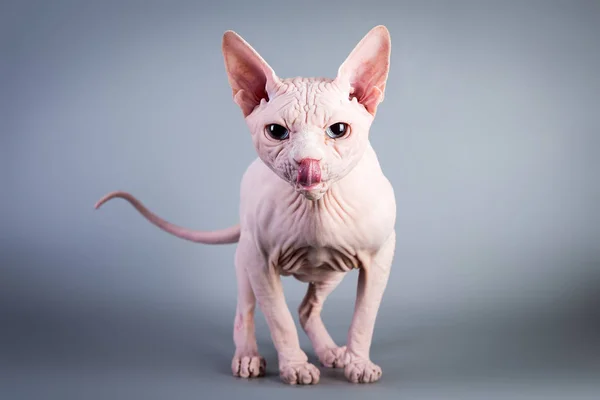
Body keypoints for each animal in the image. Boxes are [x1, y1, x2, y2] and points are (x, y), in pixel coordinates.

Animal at [96, 25, 396, 384]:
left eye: (338, 130)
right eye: (277, 131)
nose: (308, 163)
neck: (315, 207)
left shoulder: (380, 255)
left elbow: (364, 316)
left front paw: (359, 363)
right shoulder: (259, 259)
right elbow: (278, 318)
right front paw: (295, 367)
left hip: (332, 269)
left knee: (307, 308)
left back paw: (331, 352)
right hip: (245, 259)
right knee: (247, 310)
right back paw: (248, 357)